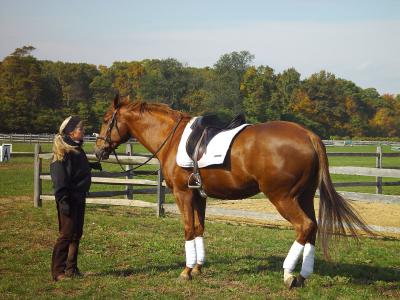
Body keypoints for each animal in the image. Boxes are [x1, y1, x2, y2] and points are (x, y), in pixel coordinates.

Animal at [94, 95, 372, 288]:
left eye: (107, 120)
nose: (98, 151)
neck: (173, 138)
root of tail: (309, 135)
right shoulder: (199, 195)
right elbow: (199, 228)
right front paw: (198, 267)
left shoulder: (184, 195)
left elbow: (188, 229)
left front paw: (186, 271)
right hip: (303, 196)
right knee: (312, 228)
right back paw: (303, 275)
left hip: (283, 198)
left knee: (304, 226)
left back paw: (288, 274)